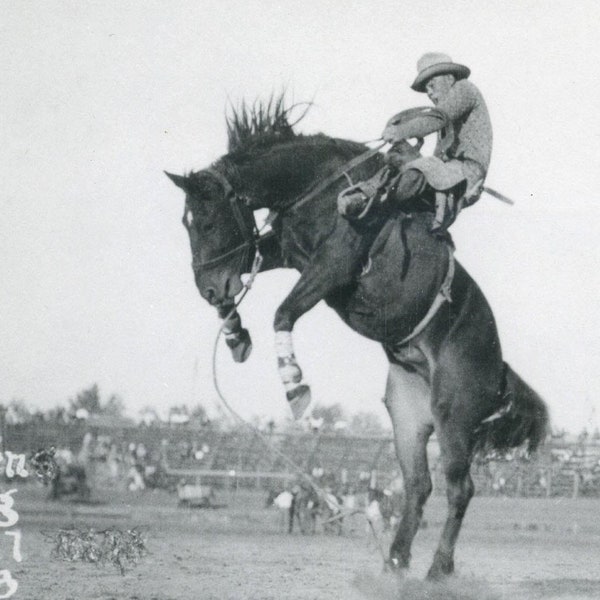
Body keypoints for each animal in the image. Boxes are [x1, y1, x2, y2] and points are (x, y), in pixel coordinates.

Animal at [166, 99, 552, 580]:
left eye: (209, 220)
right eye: (186, 223)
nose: (210, 288)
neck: (319, 187)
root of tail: (500, 368)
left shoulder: (335, 263)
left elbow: (283, 312)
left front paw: (295, 385)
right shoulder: (287, 251)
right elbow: (259, 284)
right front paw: (235, 334)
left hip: (455, 416)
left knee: (460, 488)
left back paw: (438, 568)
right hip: (408, 418)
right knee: (418, 485)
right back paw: (395, 561)